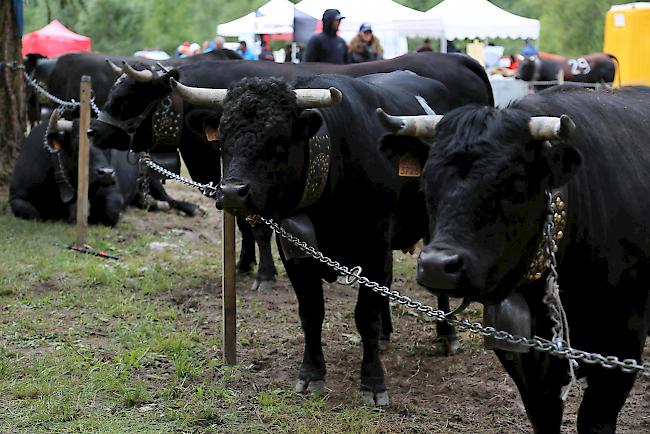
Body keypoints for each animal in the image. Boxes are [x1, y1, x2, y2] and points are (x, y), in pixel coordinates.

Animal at [173, 72, 456, 406]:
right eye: (223, 139)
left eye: (279, 139)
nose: (231, 192)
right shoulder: (295, 254)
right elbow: (311, 312)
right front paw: (311, 373)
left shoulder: (376, 249)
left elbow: (366, 316)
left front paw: (373, 383)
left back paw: (447, 334)